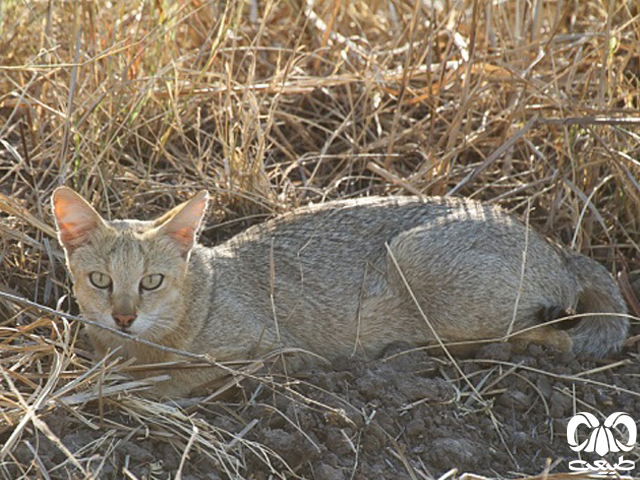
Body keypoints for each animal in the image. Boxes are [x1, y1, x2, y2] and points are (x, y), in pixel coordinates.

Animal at [51, 188, 632, 398]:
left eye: (152, 282)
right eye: (101, 281)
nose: (124, 318)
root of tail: (557, 246)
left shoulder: (267, 349)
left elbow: (173, 378)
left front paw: (121, 389)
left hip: (413, 262)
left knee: (552, 337)